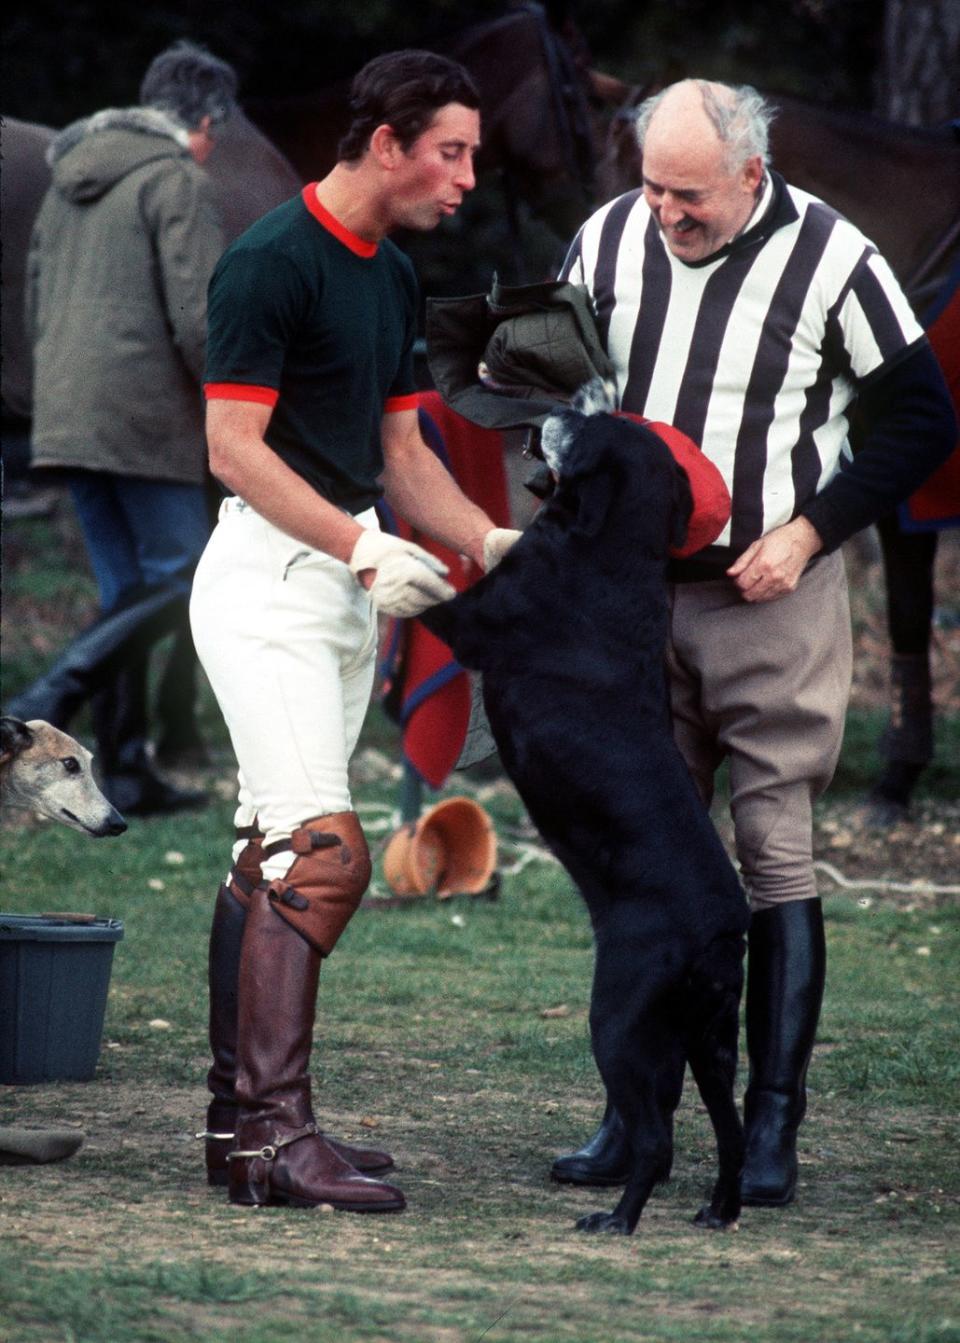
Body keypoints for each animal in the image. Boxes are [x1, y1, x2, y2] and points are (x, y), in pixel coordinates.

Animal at [421, 381, 751, 1235]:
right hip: (708, 1035)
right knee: (725, 1127)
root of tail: (721, 923)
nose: (567, 402)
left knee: (657, 1137)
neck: (613, 548)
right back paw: (718, 1210)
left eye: (595, 428)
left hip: (620, 1019)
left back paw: (619, 1218)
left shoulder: (466, 619)